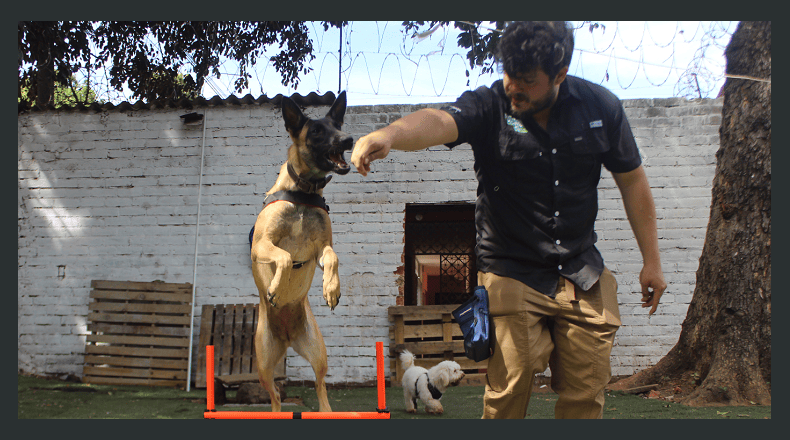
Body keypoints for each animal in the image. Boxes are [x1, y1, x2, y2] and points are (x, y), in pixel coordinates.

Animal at [252, 93, 354, 412]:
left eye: (338, 125)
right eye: (318, 131)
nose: (348, 139)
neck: (303, 192)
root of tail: (286, 336)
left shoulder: (321, 249)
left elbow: (333, 257)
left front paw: (331, 289)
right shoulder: (259, 246)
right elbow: (284, 256)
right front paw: (276, 287)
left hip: (319, 352)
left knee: (320, 386)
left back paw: (327, 411)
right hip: (262, 364)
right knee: (274, 396)